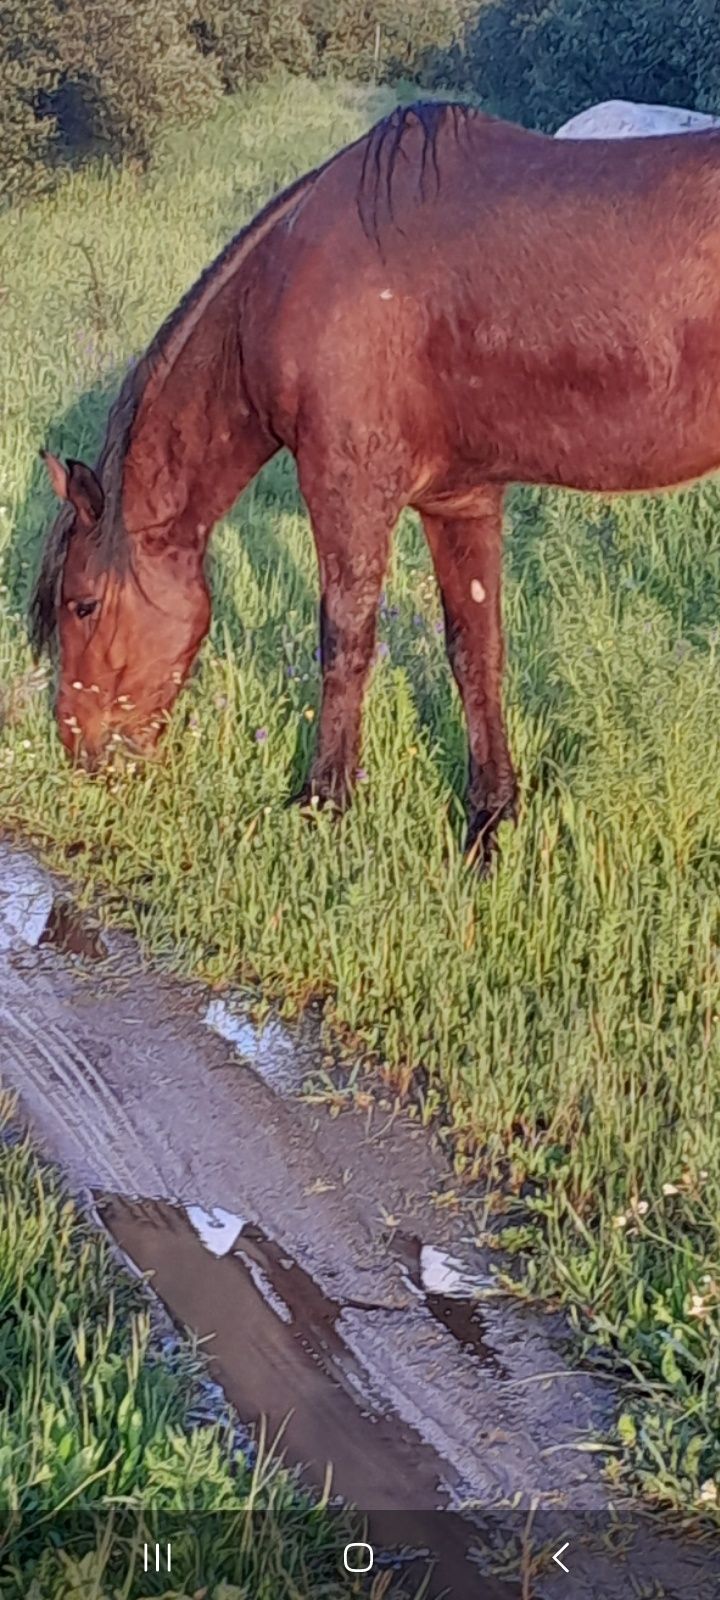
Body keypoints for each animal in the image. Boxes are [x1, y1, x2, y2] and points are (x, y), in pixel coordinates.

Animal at [32, 100, 720, 870]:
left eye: (83, 604)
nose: (80, 748)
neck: (287, 281)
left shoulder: (348, 486)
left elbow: (345, 641)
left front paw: (322, 804)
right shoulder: (461, 499)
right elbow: (475, 653)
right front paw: (489, 825)